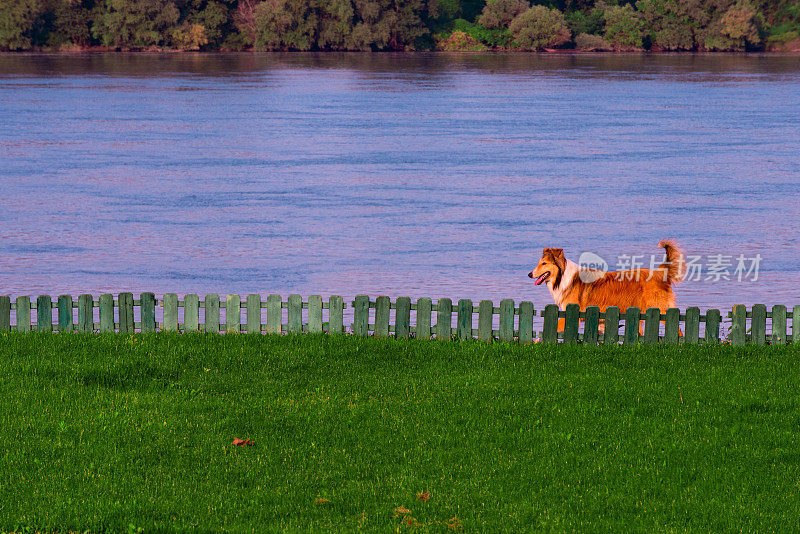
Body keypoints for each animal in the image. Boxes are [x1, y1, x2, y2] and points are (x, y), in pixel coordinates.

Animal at [528, 241, 684, 332]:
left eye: (544, 263)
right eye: (539, 262)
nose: (529, 274)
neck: (562, 277)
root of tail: (660, 273)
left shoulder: (571, 314)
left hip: (661, 310)